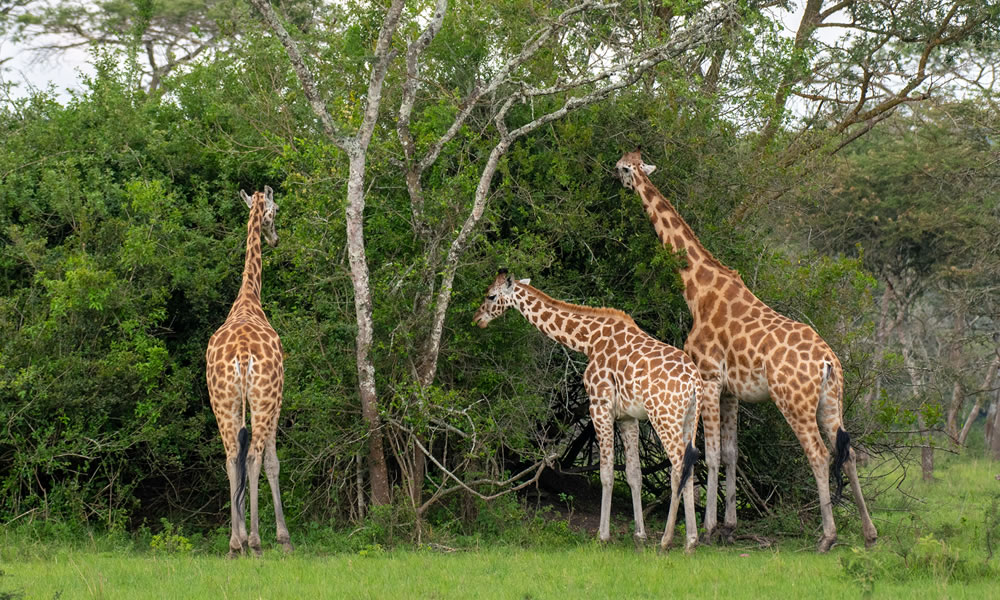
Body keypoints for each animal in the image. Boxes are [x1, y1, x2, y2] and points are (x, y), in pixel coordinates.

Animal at [476, 270, 704, 552]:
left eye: (490, 295)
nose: (477, 319)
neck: (588, 341)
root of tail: (695, 383)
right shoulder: (628, 416)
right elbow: (634, 474)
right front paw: (639, 535)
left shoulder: (599, 405)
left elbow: (606, 473)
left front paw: (602, 535)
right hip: (689, 419)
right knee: (689, 466)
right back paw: (690, 541)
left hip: (664, 416)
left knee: (677, 466)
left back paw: (667, 539)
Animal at [612, 150, 880, 552]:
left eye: (623, 167)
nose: (615, 179)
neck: (697, 288)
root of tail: (827, 361)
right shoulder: (731, 391)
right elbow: (730, 453)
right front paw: (729, 527)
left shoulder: (708, 378)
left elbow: (709, 454)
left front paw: (708, 529)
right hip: (831, 401)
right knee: (845, 455)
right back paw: (869, 533)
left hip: (794, 402)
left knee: (819, 455)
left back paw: (827, 537)